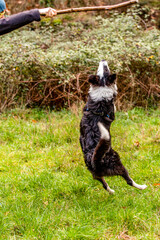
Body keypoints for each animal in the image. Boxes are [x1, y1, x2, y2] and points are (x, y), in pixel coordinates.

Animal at [79, 61, 147, 194]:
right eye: (105, 70)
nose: (103, 60)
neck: (102, 85)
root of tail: (95, 161)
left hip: (96, 174)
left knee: (104, 184)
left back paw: (111, 191)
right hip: (118, 163)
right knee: (128, 180)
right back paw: (142, 186)